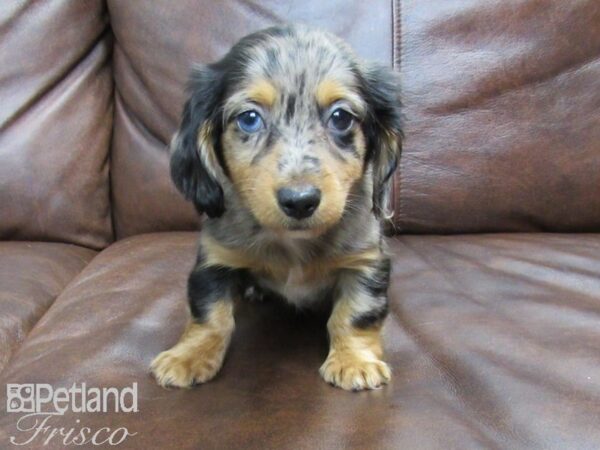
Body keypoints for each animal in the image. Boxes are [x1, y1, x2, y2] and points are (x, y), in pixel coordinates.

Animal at [151, 24, 404, 390]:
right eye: (249, 118)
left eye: (341, 117)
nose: (300, 201)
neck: (292, 243)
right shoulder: (214, 259)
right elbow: (209, 314)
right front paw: (188, 356)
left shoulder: (366, 260)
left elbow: (355, 314)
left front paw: (354, 361)